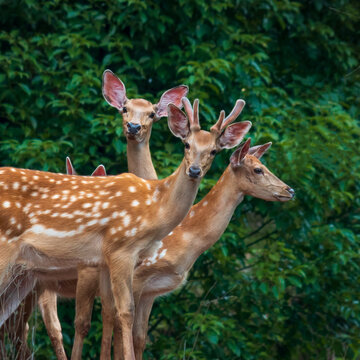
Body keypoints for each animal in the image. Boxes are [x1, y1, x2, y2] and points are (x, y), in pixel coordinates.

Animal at [0, 96, 252, 360]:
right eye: (186, 144)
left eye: (213, 151)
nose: (194, 170)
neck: (154, 209)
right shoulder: (120, 250)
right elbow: (124, 312)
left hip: (24, 274)